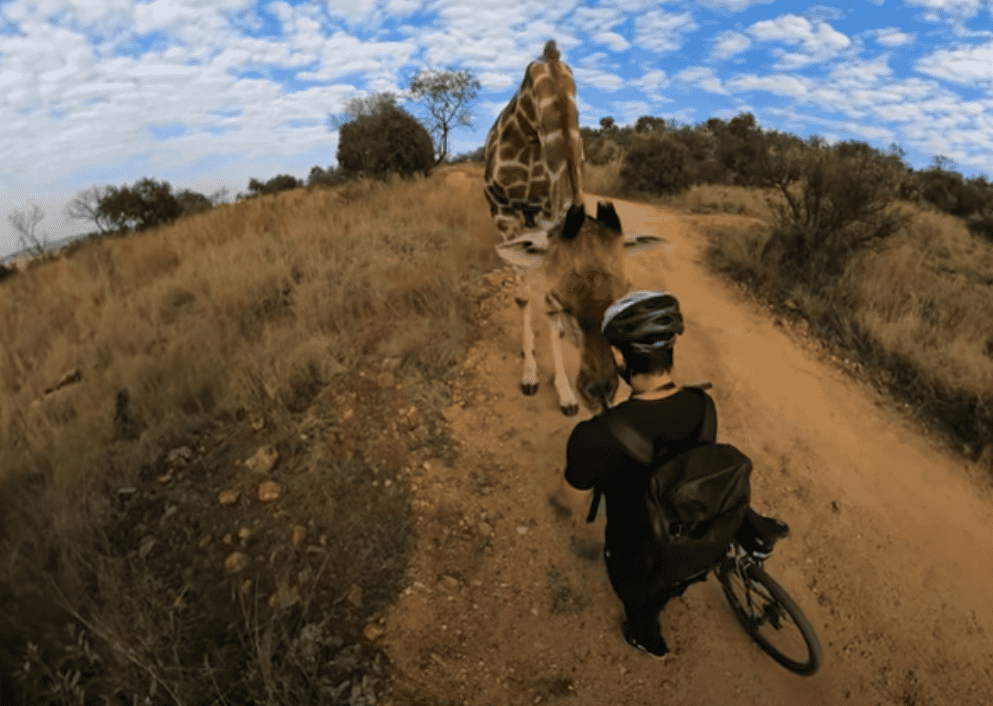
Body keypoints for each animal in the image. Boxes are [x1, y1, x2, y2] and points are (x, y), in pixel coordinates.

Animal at [483, 41, 662, 416]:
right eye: (563, 301)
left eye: (625, 293)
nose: (601, 393)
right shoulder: (506, 217)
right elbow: (530, 298)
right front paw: (535, 377)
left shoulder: (548, 212)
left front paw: (564, 392)